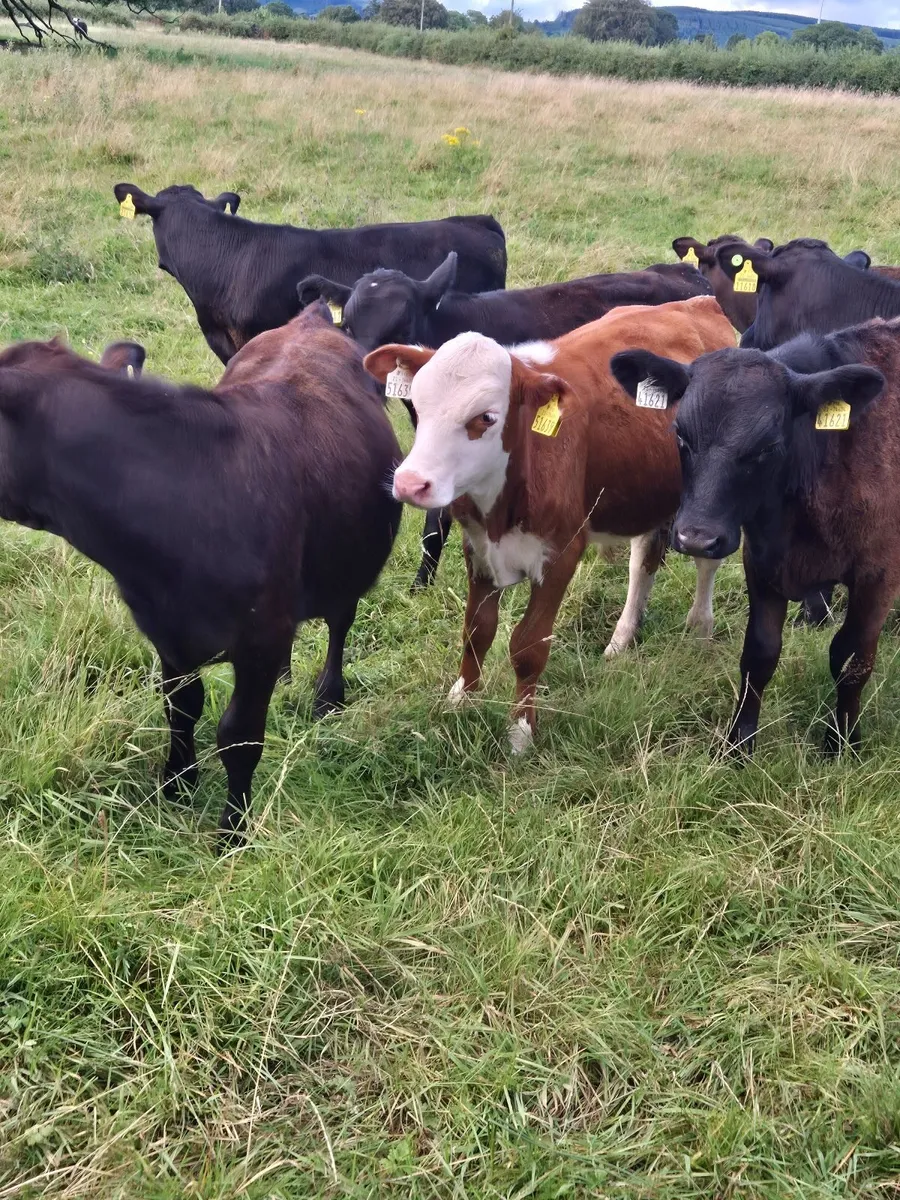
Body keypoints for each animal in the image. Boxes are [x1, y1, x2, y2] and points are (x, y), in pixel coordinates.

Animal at [0, 306, 401, 844]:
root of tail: (311, 315)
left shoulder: (259, 638)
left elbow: (238, 735)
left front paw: (233, 831)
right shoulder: (166, 630)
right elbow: (181, 706)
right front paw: (176, 783)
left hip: (347, 557)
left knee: (340, 621)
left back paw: (328, 696)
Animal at [364, 296, 736, 752]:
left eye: (485, 417)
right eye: (416, 405)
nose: (410, 483)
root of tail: (696, 302)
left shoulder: (561, 553)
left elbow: (528, 646)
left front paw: (521, 732)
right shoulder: (478, 549)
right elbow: (476, 631)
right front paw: (461, 700)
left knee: (705, 562)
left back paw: (700, 629)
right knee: (643, 560)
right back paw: (622, 637)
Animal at [610, 318, 899, 757]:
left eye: (768, 446)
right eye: (680, 434)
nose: (696, 539)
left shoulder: (877, 578)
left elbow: (852, 661)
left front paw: (842, 742)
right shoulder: (762, 563)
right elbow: (759, 654)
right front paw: (738, 744)